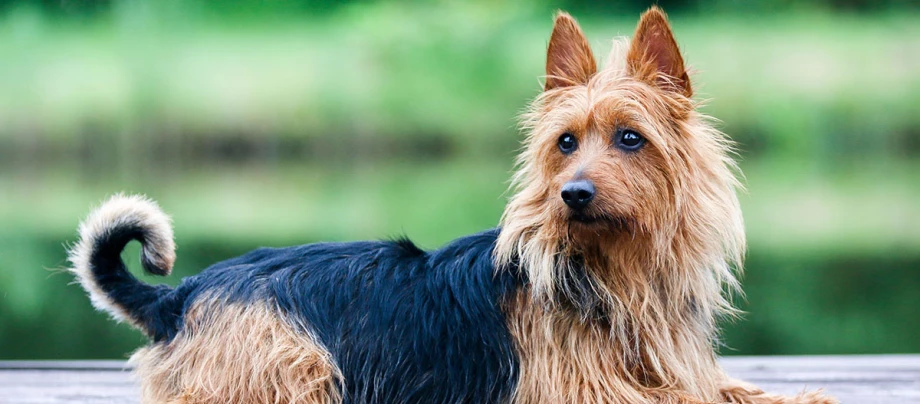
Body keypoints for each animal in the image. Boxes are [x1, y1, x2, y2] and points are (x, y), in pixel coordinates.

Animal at [68, 6, 836, 404]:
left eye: (630, 138)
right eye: (565, 142)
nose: (573, 193)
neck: (612, 270)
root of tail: (183, 292)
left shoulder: (671, 368)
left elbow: (731, 390)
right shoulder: (580, 392)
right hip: (292, 362)